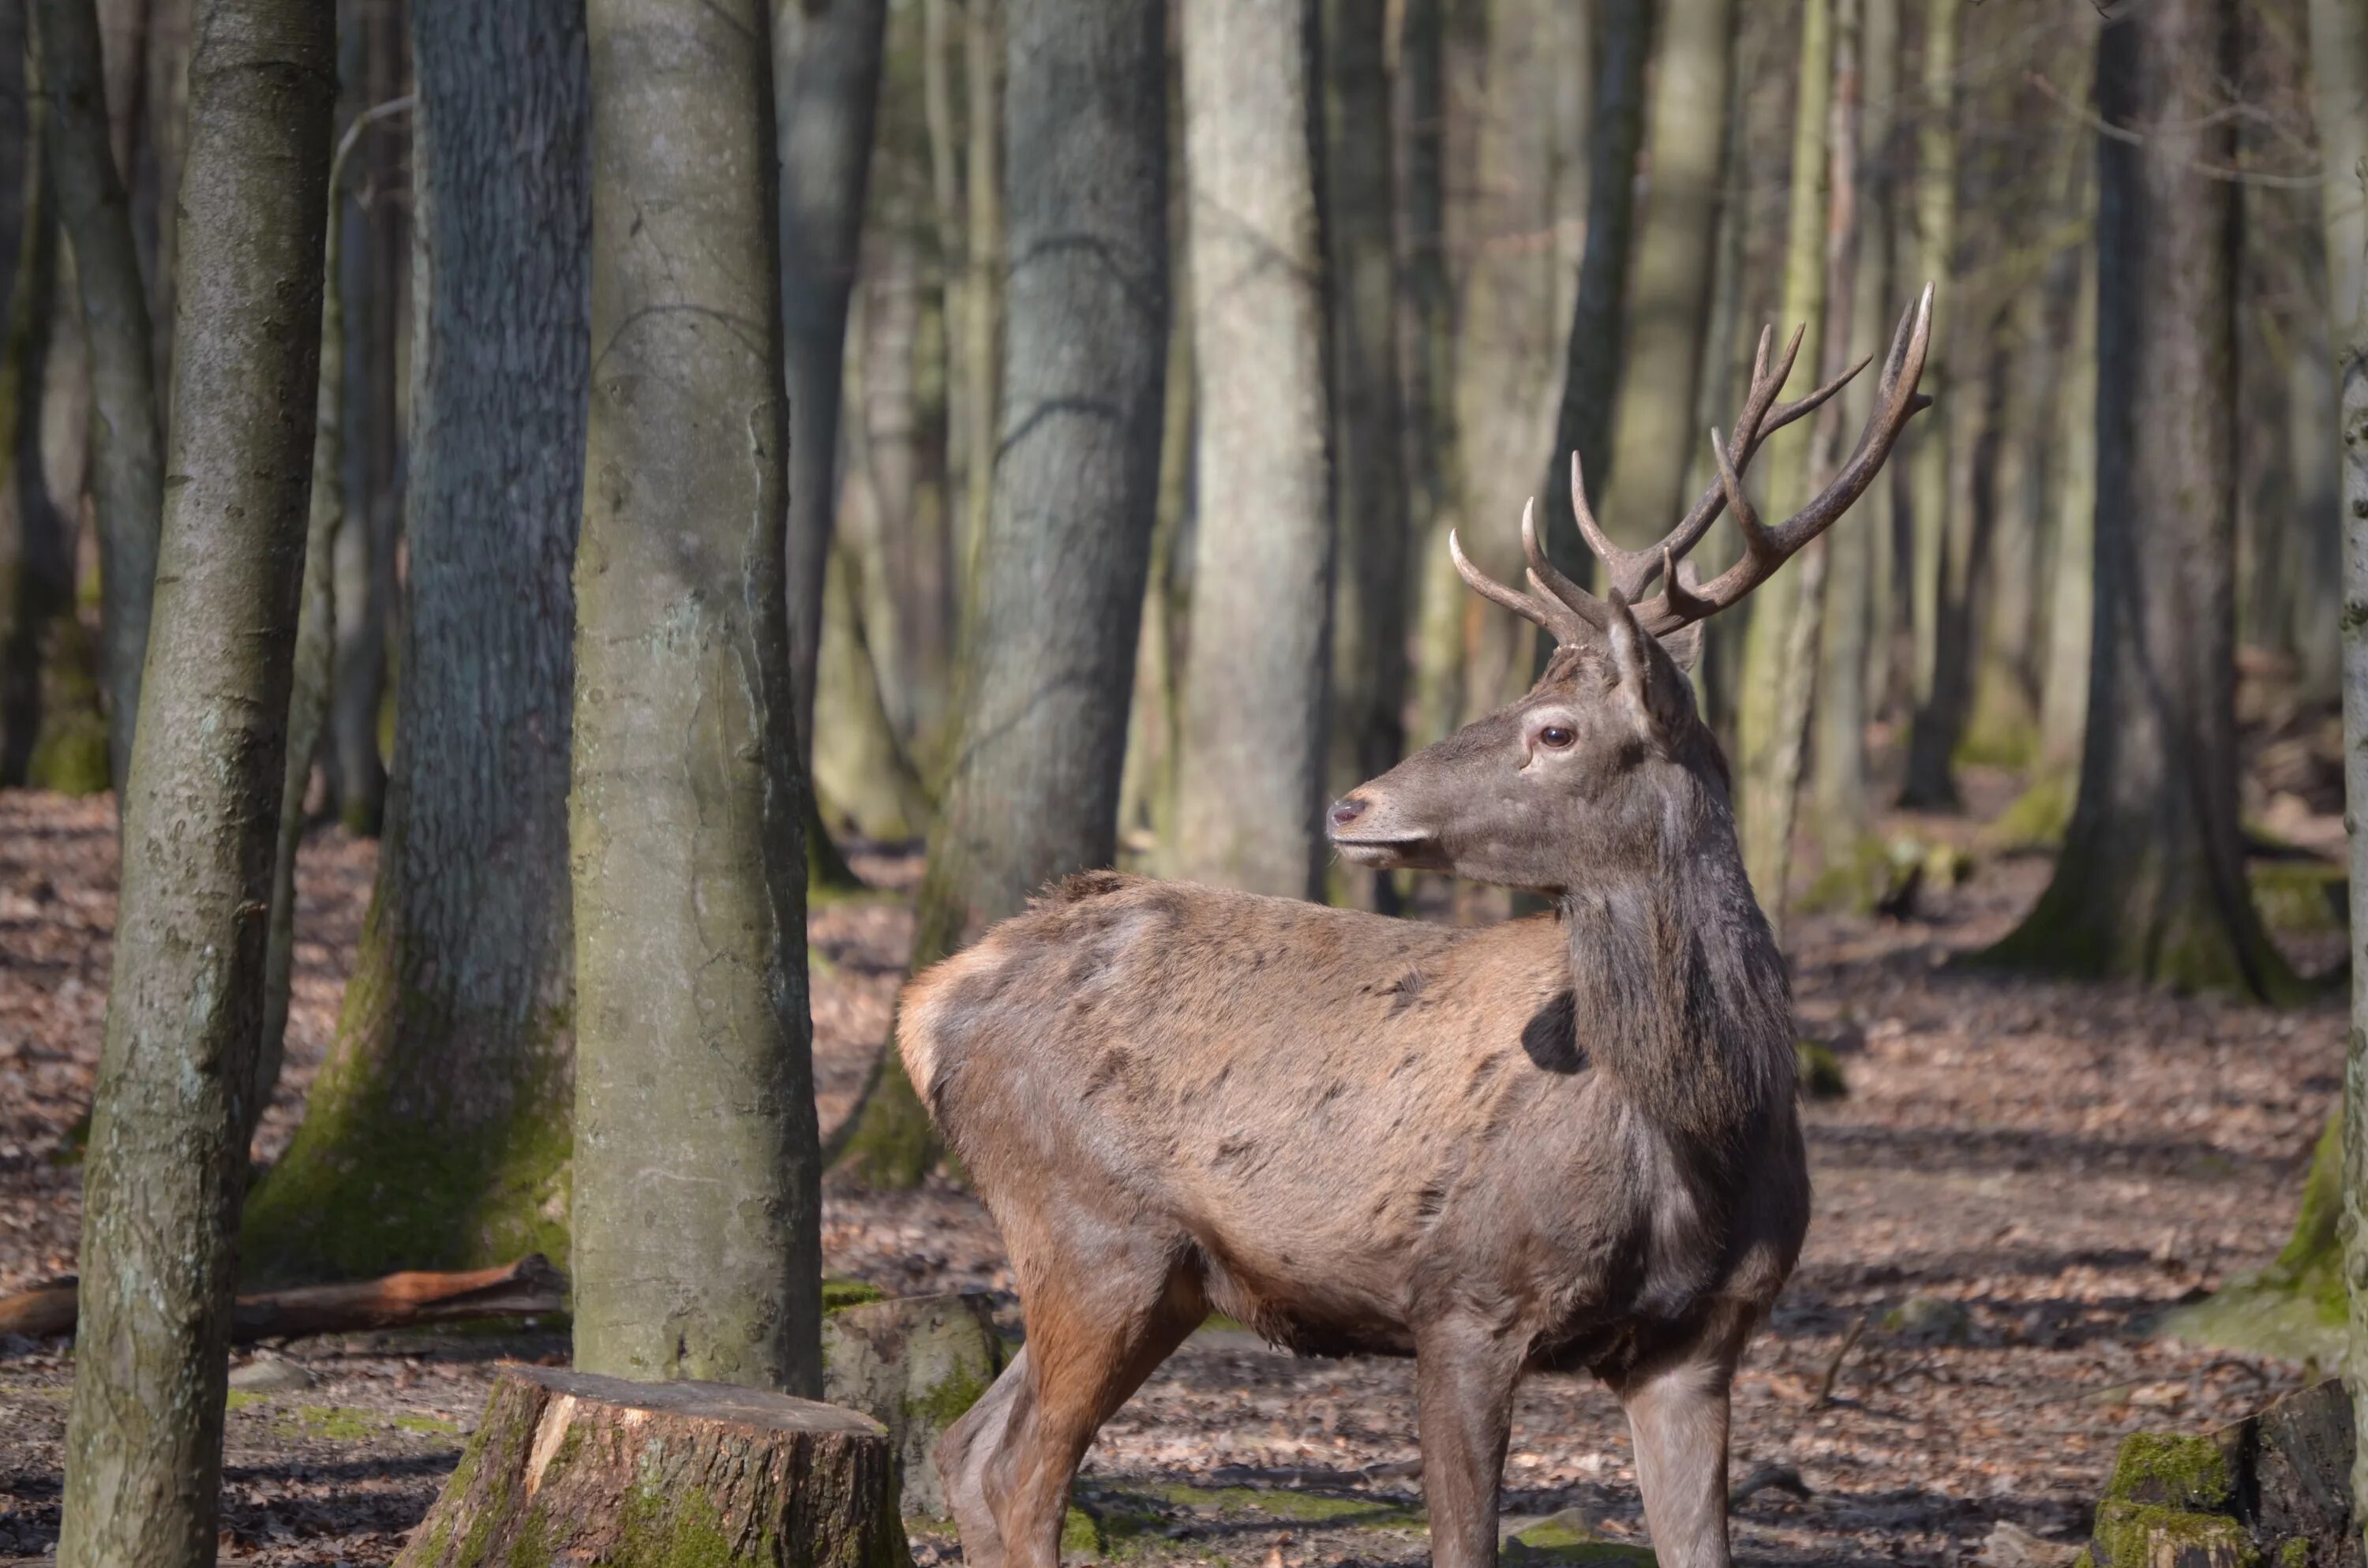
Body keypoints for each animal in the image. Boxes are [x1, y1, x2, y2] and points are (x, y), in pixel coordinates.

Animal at [895, 289, 1932, 1568]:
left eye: (1552, 728)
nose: (1353, 803)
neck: (1703, 1137)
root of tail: (928, 1002)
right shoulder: (1464, 1299)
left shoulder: (1702, 1344)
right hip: (1090, 1225)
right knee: (1017, 1474)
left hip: (1160, 1273)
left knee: (966, 1448)